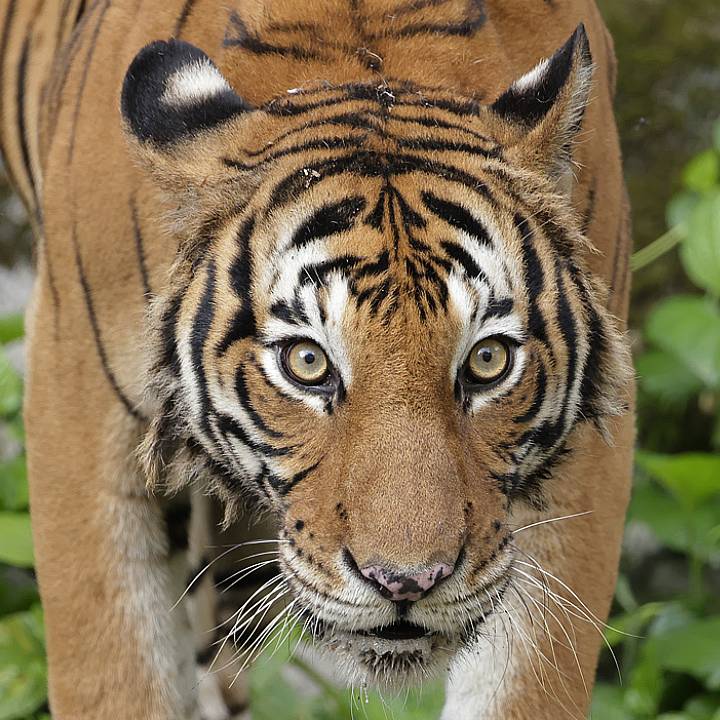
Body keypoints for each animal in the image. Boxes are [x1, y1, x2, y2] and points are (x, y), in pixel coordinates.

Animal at [0, 0, 635, 718]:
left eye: (488, 360)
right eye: (307, 362)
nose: (406, 582)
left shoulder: (586, 461)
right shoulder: (77, 419)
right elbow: (113, 673)